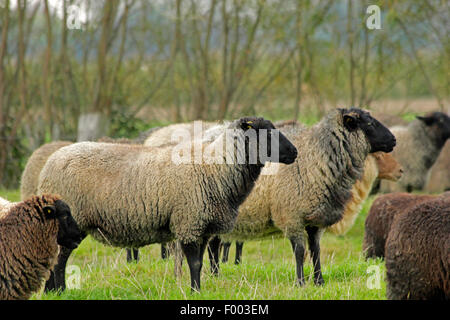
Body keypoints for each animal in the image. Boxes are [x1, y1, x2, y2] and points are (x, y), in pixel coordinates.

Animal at [37, 116, 298, 292]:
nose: (295, 152)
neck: (215, 168)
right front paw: (195, 291)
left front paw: (196, 290)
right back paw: (57, 291)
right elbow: (194, 263)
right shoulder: (189, 222)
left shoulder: (201, 227)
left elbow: (199, 263)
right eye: (266, 134)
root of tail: (49, 165)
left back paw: (56, 292)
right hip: (70, 222)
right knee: (59, 260)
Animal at [215, 108, 398, 284]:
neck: (314, 162)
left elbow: (316, 251)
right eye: (369, 123)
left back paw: (215, 274)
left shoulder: (315, 221)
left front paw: (319, 281)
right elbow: (299, 252)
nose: (394, 140)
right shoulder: (292, 217)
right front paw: (300, 282)